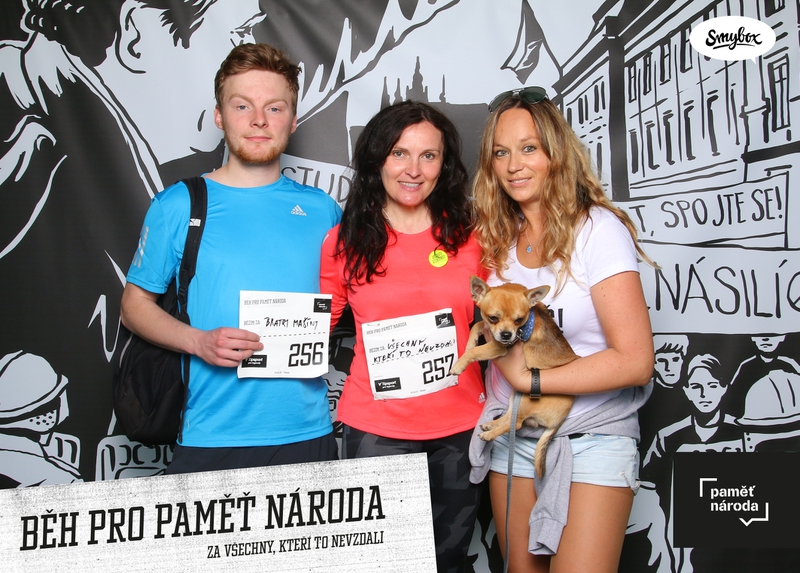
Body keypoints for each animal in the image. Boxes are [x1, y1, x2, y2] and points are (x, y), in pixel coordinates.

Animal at [450, 276, 578, 478]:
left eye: (519, 320)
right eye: (493, 318)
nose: (506, 334)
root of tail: (559, 421)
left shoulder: (499, 346)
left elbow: (476, 352)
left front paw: (459, 364)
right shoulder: (491, 332)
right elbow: (478, 325)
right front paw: (471, 342)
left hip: (527, 397)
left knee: (516, 424)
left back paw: (488, 434)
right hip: (516, 394)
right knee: (510, 417)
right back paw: (489, 426)